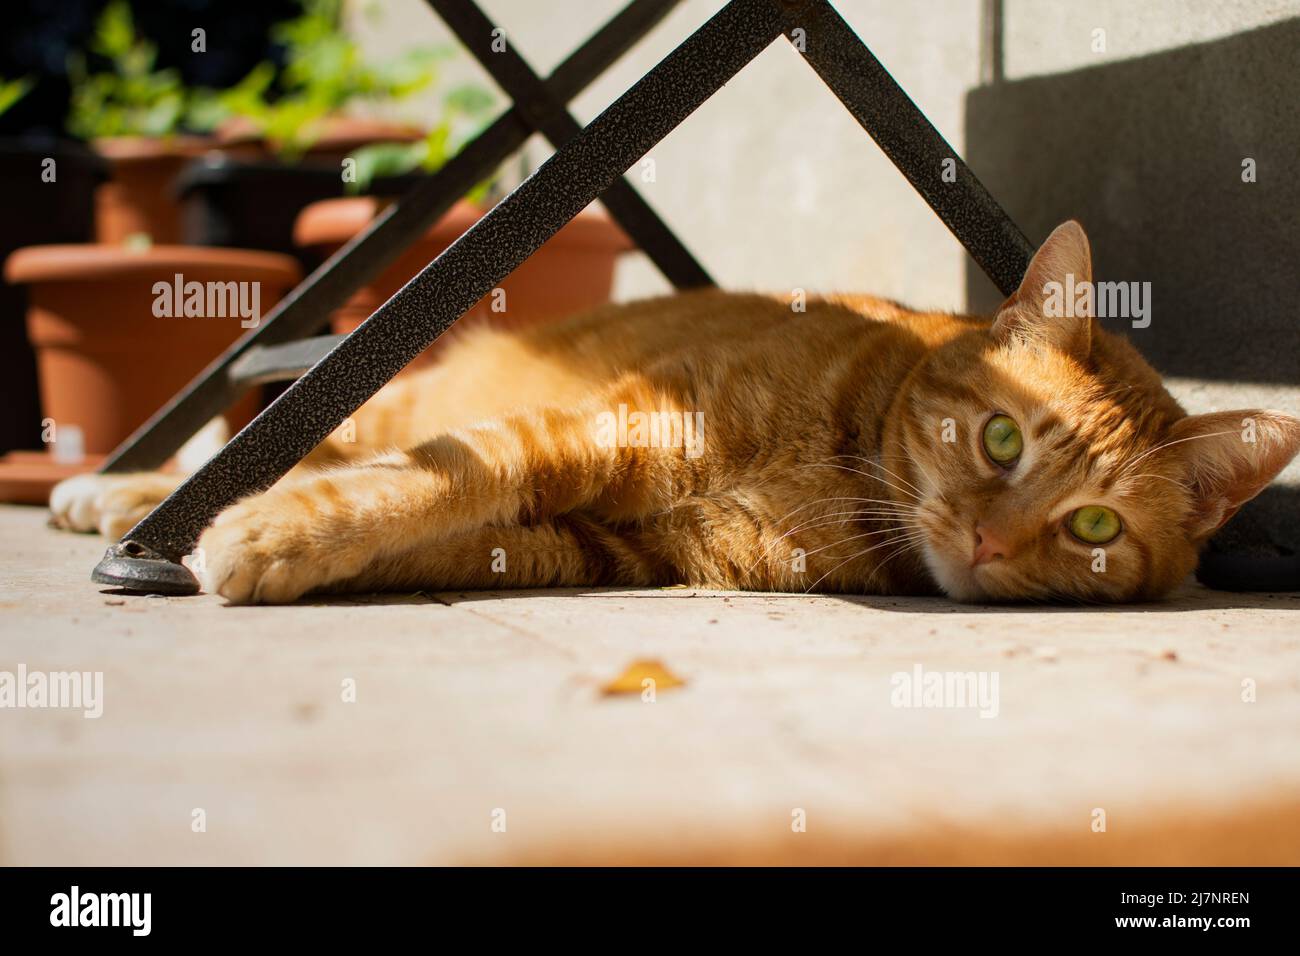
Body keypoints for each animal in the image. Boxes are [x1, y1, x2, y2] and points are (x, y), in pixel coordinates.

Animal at [53, 221, 1300, 600]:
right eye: (1000, 438)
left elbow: (443, 526)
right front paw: (270, 529)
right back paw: (112, 495)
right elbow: (437, 474)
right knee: (297, 441)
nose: (992, 540)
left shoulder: (606, 545)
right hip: (398, 392)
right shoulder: (596, 432)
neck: (844, 475)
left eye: (1093, 526)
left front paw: (295, 547)